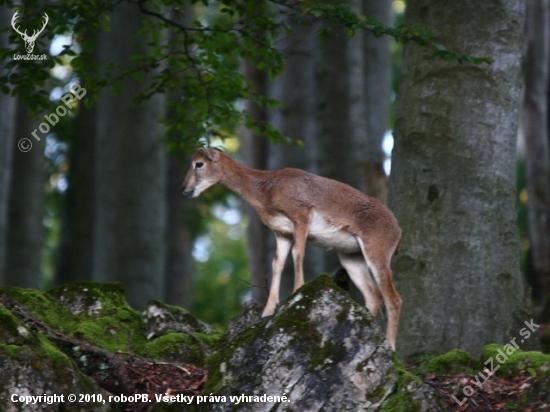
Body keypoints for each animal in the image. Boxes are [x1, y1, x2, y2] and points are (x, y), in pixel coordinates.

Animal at [183, 147, 404, 348]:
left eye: (199, 164)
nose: (185, 189)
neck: (265, 192)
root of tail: (398, 231)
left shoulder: (300, 212)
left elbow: (298, 253)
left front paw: (297, 292)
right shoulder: (281, 233)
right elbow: (277, 263)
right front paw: (267, 312)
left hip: (378, 248)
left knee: (393, 297)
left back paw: (390, 346)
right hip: (350, 256)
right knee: (374, 295)